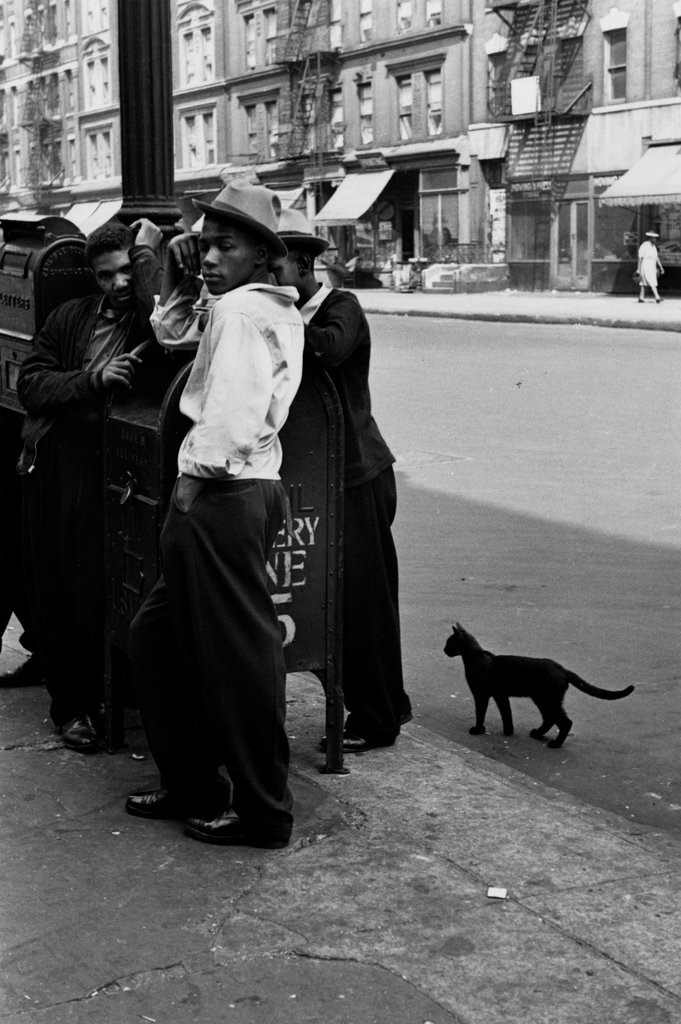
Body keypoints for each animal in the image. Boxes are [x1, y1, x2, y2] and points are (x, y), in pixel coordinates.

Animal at [444, 618, 634, 749]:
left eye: (448, 643)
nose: (444, 650)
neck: (475, 658)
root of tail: (561, 668)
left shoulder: (481, 695)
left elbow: (480, 713)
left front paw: (478, 729)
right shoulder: (500, 695)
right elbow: (507, 714)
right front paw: (508, 732)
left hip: (547, 700)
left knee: (565, 722)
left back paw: (555, 744)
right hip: (543, 700)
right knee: (550, 719)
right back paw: (537, 734)